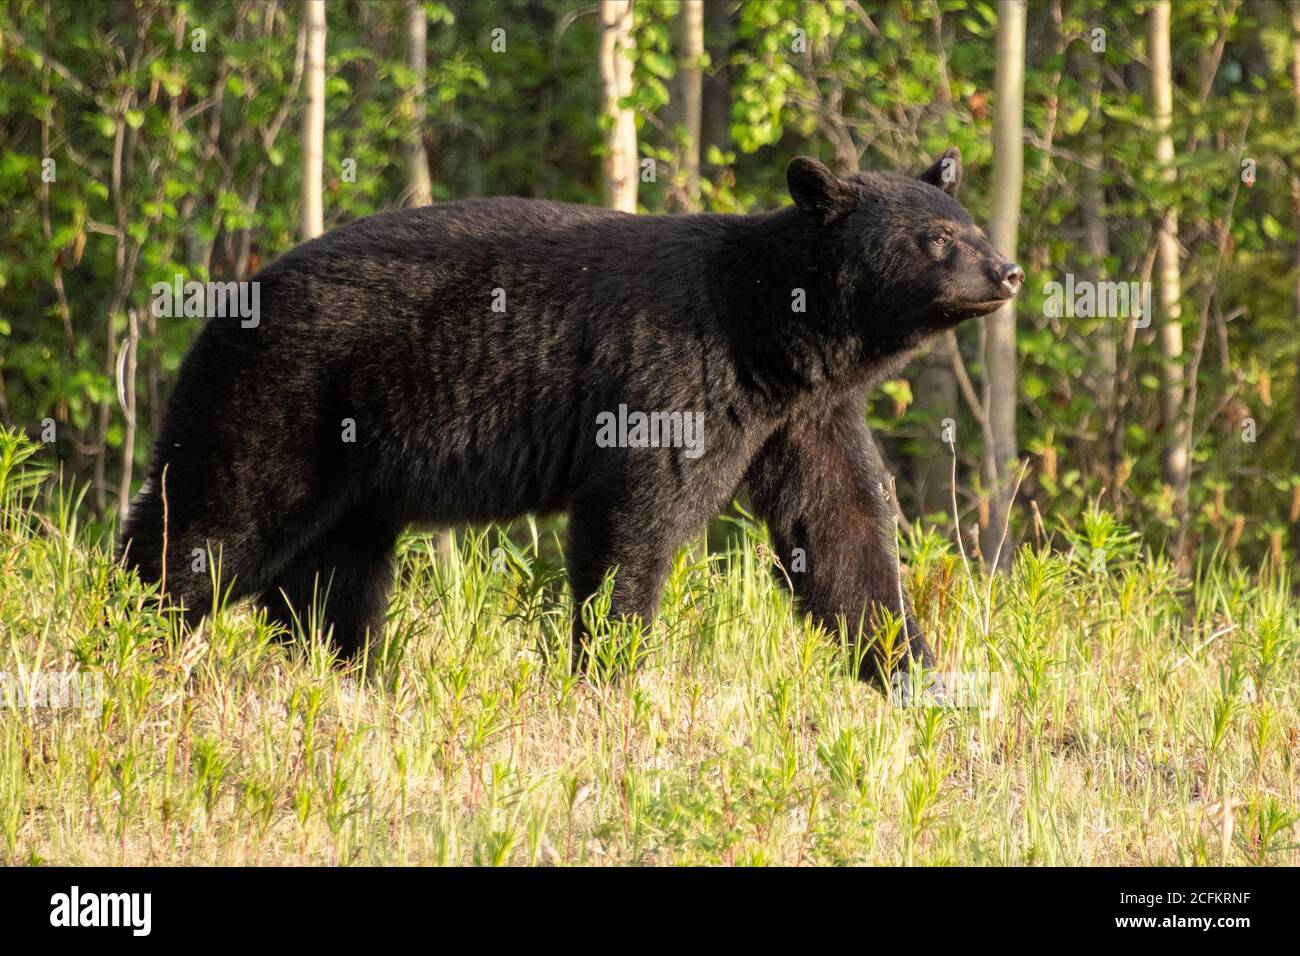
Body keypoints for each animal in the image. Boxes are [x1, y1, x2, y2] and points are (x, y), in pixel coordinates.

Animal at [119, 147, 1013, 686]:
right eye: (939, 237)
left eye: (969, 224)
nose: (1006, 269)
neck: (773, 327)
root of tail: (226, 302)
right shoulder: (678, 375)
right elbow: (639, 517)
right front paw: (612, 669)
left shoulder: (803, 417)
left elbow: (839, 529)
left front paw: (917, 674)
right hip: (283, 400)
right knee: (205, 525)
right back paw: (125, 638)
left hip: (354, 472)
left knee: (333, 581)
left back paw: (352, 673)